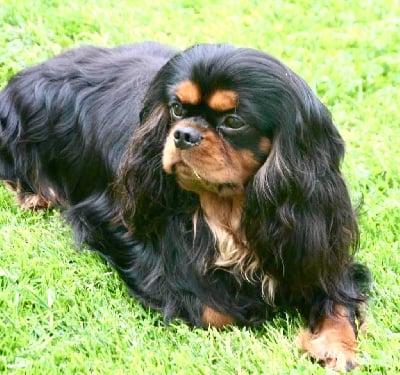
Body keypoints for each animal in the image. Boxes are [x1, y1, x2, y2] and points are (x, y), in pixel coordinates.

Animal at [0, 42, 370, 372]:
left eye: (234, 122)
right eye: (177, 109)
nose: (183, 134)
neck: (229, 208)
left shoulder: (317, 243)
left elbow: (338, 299)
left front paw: (337, 347)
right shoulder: (118, 231)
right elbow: (216, 310)